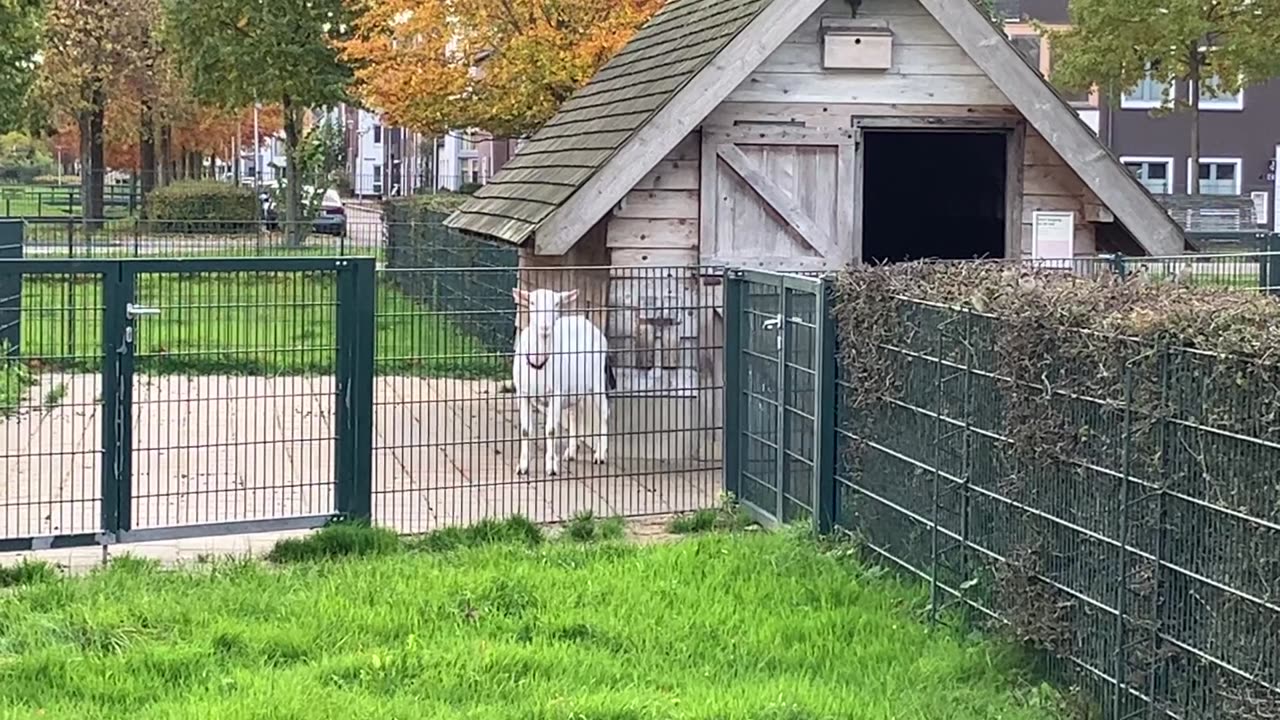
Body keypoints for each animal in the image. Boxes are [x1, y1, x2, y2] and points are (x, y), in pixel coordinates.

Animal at [509, 285, 614, 476]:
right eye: (532, 302)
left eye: (557, 303)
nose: (545, 327)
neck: (538, 364)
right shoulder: (522, 393)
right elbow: (525, 430)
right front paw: (522, 467)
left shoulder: (556, 393)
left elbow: (551, 430)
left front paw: (551, 467)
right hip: (575, 390)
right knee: (575, 415)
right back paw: (571, 452)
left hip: (597, 381)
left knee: (604, 413)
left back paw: (600, 455)